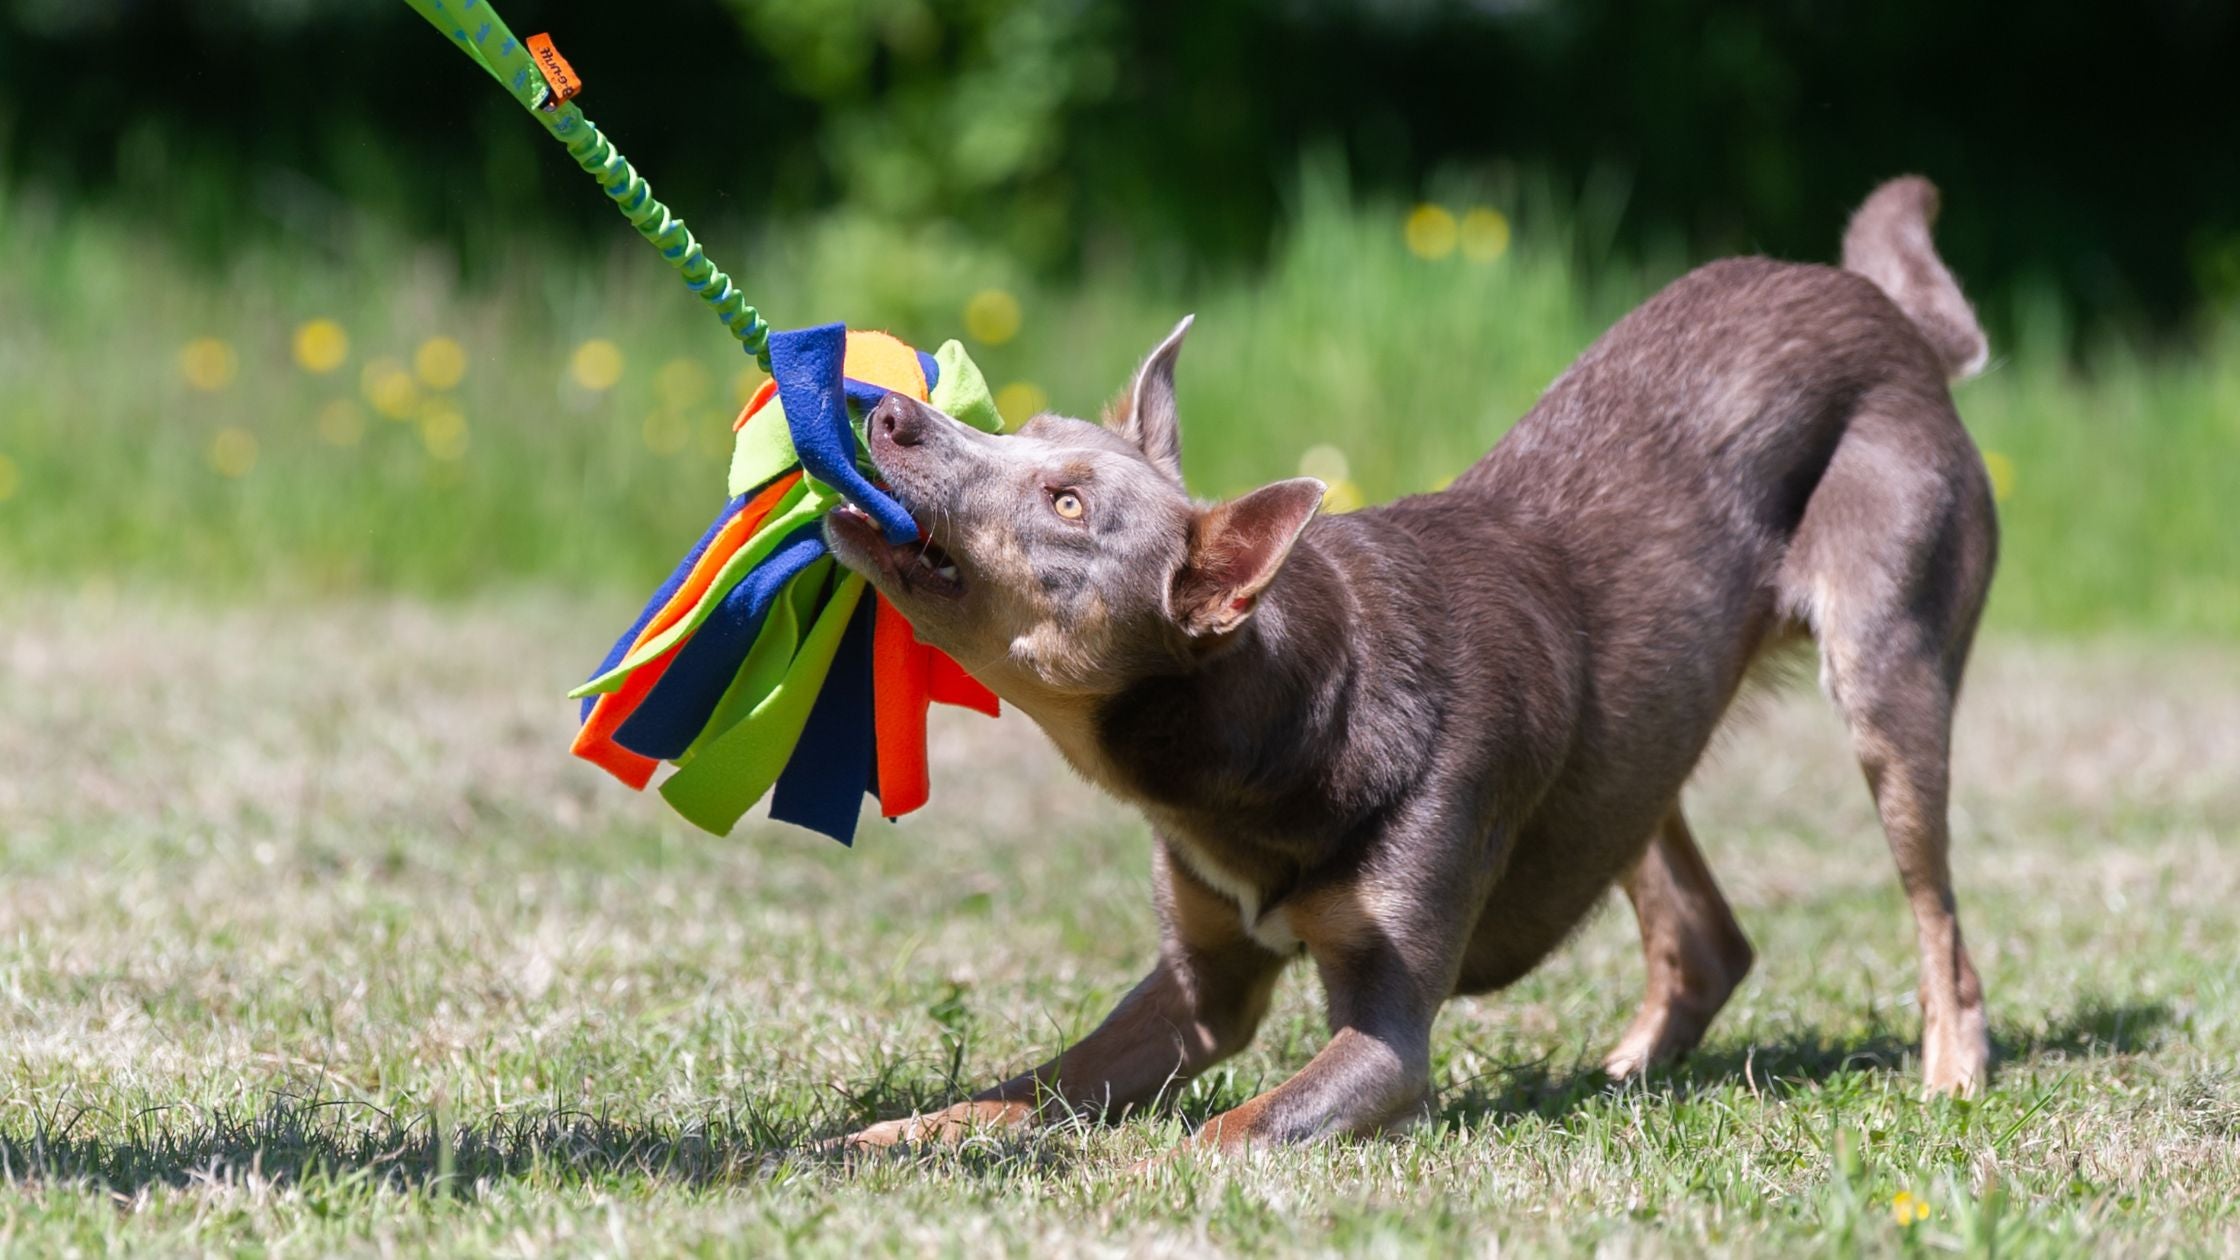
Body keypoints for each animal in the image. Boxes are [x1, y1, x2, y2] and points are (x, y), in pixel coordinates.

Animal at [824, 176, 1996, 1152]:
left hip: (1884, 666)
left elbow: (1231, 1127)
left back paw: (1949, 1080)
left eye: (1065, 503)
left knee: (1938, 920)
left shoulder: (1389, 1033)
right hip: (1639, 742)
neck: (1277, 727)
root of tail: (1891, 317)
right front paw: (885, 1139)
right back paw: (1620, 1075)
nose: (880, 407)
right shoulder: (1199, 986)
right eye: (1020, 429)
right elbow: (1032, 1084)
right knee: (1708, 937)